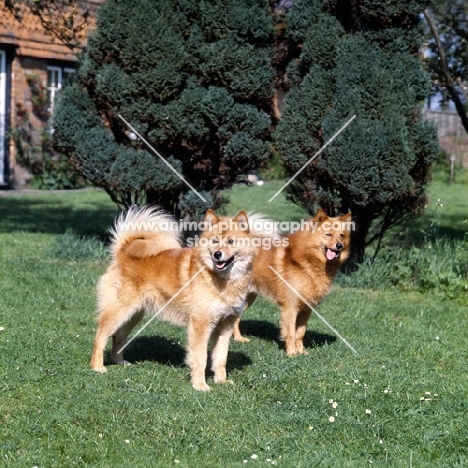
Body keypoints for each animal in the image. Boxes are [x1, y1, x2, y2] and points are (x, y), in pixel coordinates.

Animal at [89, 207, 254, 392]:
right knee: (100, 337)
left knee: (118, 337)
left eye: (231, 241)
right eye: (215, 241)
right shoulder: (201, 325)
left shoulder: (225, 326)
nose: (217, 254)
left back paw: (120, 362)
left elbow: (221, 358)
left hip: (134, 314)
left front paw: (221, 381)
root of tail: (123, 252)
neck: (222, 280)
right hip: (119, 311)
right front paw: (200, 384)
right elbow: (200, 357)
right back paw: (97, 367)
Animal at [234, 208, 352, 354]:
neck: (307, 261)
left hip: (248, 299)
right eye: (328, 234)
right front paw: (291, 354)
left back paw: (239, 339)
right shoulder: (290, 306)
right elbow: (290, 332)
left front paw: (301, 352)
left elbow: (300, 332)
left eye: (342, 235)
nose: (339, 246)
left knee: (235, 319)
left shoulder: (306, 309)